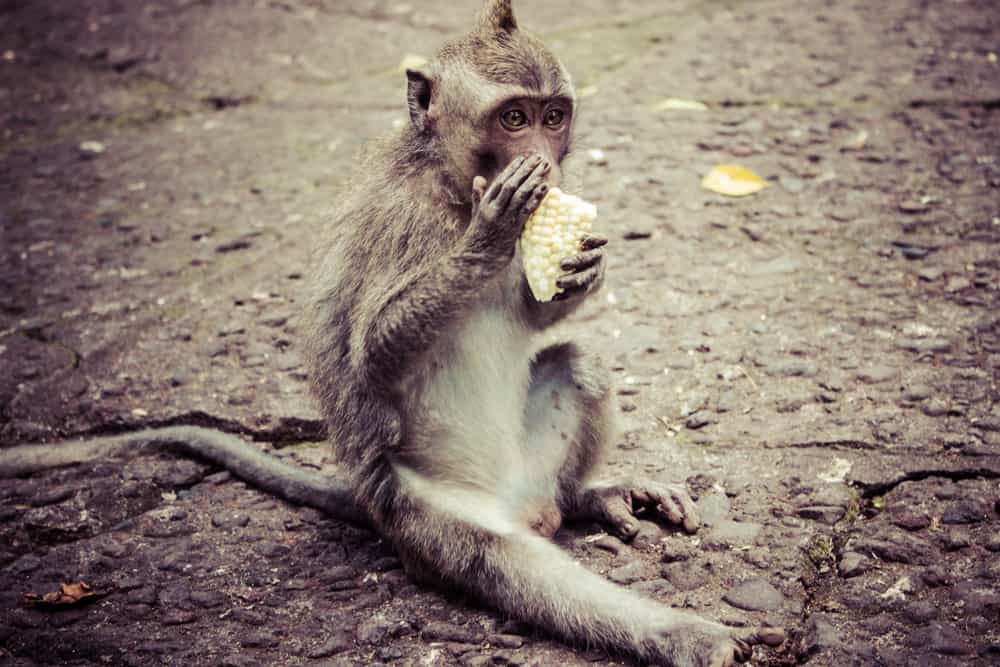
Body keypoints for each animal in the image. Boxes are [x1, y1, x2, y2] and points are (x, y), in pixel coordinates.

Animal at [0, 2, 784, 664]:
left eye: (554, 115)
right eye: (514, 117)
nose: (544, 155)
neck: (452, 184)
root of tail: (520, 503)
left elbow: (538, 314)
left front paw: (581, 269)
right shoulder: (404, 221)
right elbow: (371, 354)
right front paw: (488, 239)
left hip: (531, 468)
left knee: (578, 367)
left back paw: (589, 496)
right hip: (426, 516)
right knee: (505, 562)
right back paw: (680, 633)